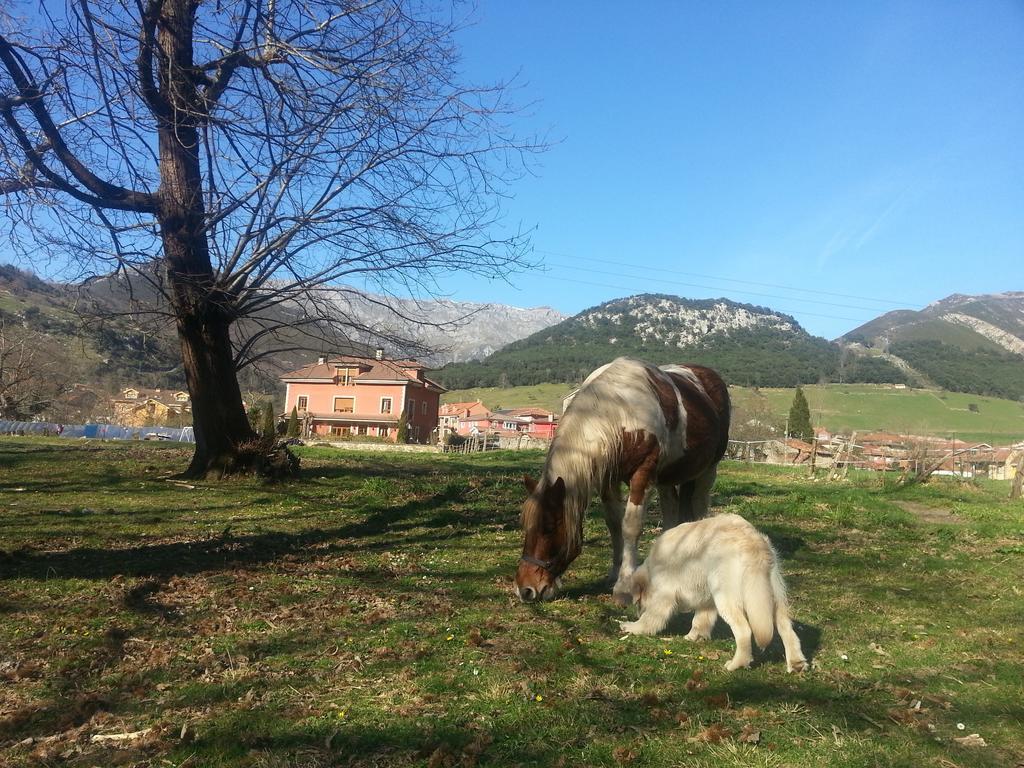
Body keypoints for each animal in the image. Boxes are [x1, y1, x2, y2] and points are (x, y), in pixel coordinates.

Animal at [520, 358, 729, 606]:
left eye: (549, 527)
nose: (525, 589)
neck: (620, 414)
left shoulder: (642, 476)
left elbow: (630, 527)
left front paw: (624, 586)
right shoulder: (607, 480)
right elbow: (614, 524)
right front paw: (614, 573)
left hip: (707, 470)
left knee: (699, 505)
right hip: (667, 477)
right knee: (671, 508)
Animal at [614, 518, 806, 671]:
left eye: (638, 603)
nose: (636, 612)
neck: (652, 569)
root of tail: (753, 543)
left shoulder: (664, 595)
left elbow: (650, 618)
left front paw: (633, 627)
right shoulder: (707, 601)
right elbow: (700, 620)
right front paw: (694, 637)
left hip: (727, 599)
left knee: (744, 631)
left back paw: (737, 664)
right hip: (772, 599)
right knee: (787, 630)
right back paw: (796, 664)